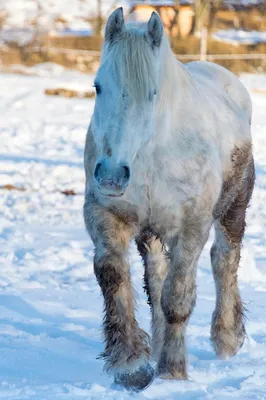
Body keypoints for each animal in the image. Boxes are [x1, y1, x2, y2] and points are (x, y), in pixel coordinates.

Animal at [84, 7, 255, 392]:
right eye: (98, 86)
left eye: (152, 92)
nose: (111, 175)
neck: (152, 154)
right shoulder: (106, 214)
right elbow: (114, 276)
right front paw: (131, 365)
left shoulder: (192, 229)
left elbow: (177, 298)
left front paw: (173, 372)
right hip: (152, 234)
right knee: (156, 279)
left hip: (233, 209)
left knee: (224, 262)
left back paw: (227, 338)